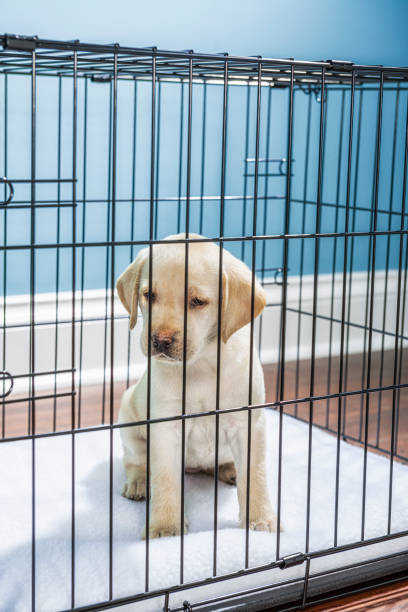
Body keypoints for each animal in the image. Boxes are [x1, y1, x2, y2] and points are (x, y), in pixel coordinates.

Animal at [116, 234, 278, 540]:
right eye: (149, 295)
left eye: (197, 301)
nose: (160, 340)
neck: (202, 361)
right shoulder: (166, 427)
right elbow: (166, 480)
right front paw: (165, 528)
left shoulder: (249, 422)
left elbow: (256, 475)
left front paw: (260, 522)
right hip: (129, 417)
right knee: (137, 461)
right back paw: (140, 483)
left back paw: (230, 469)